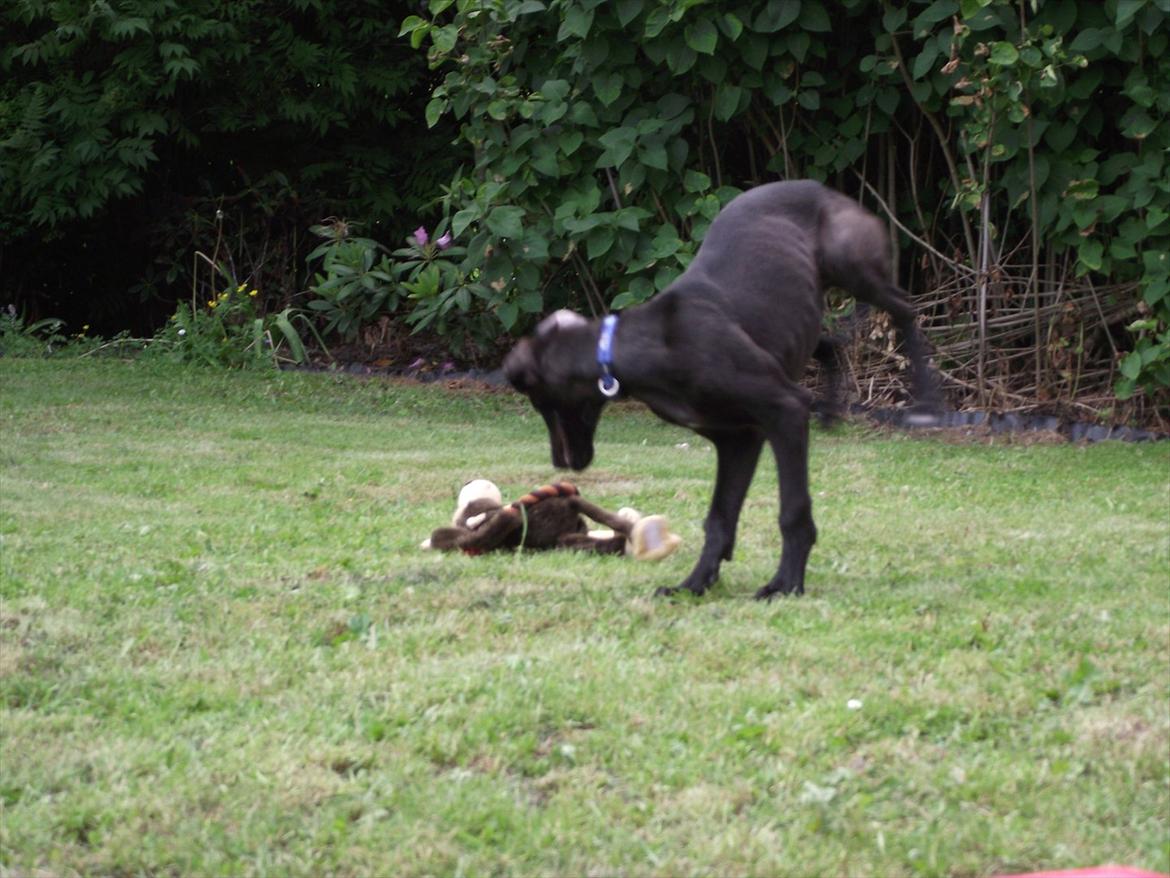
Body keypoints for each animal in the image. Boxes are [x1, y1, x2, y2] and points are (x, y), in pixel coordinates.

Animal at [505, 181, 940, 604]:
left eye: (541, 402)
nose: (560, 464)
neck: (643, 347)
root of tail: (823, 188)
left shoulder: (784, 412)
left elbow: (792, 511)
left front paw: (785, 584)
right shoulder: (737, 437)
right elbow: (719, 518)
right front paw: (694, 584)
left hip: (852, 264)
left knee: (905, 309)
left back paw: (927, 400)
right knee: (830, 343)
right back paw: (833, 408)